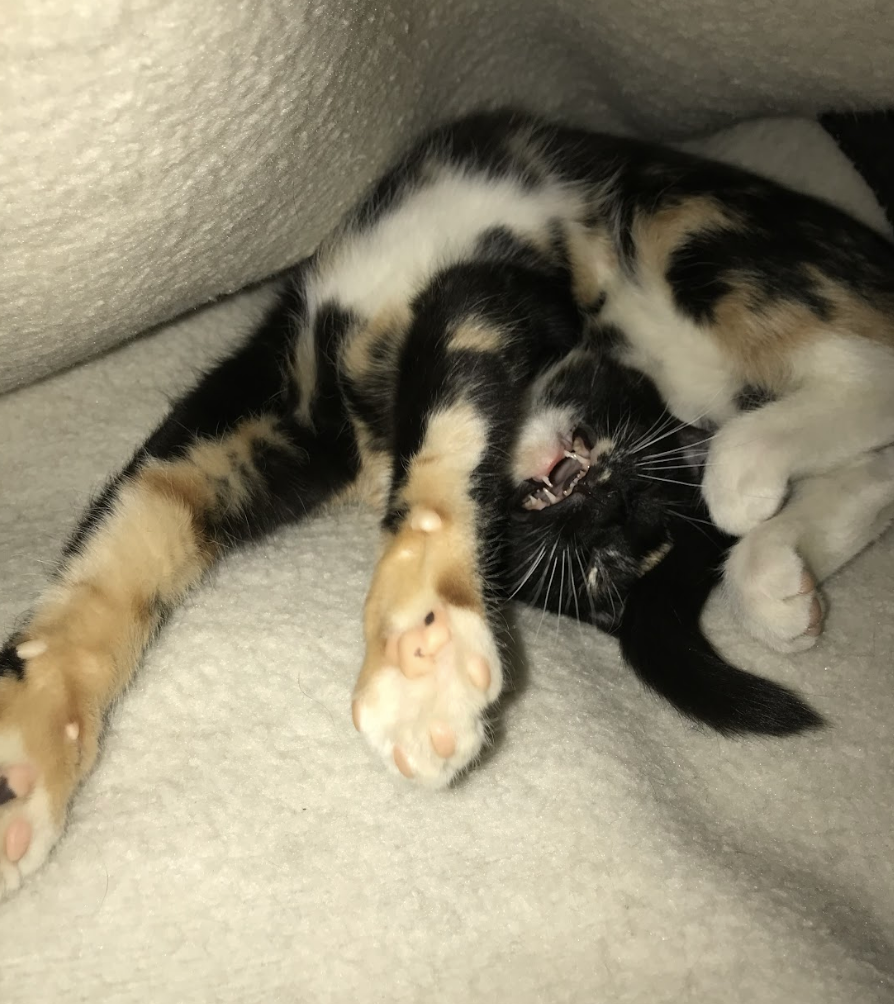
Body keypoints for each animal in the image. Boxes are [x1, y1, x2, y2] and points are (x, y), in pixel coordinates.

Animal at [1, 109, 891, 895]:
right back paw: (779, 581)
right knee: (875, 468)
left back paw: (745, 481)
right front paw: (26, 763)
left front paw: (419, 651)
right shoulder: (266, 410)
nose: (600, 496)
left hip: (697, 226)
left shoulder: (497, 294)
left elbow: (451, 404)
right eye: (597, 567)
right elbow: (130, 530)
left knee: (865, 376)